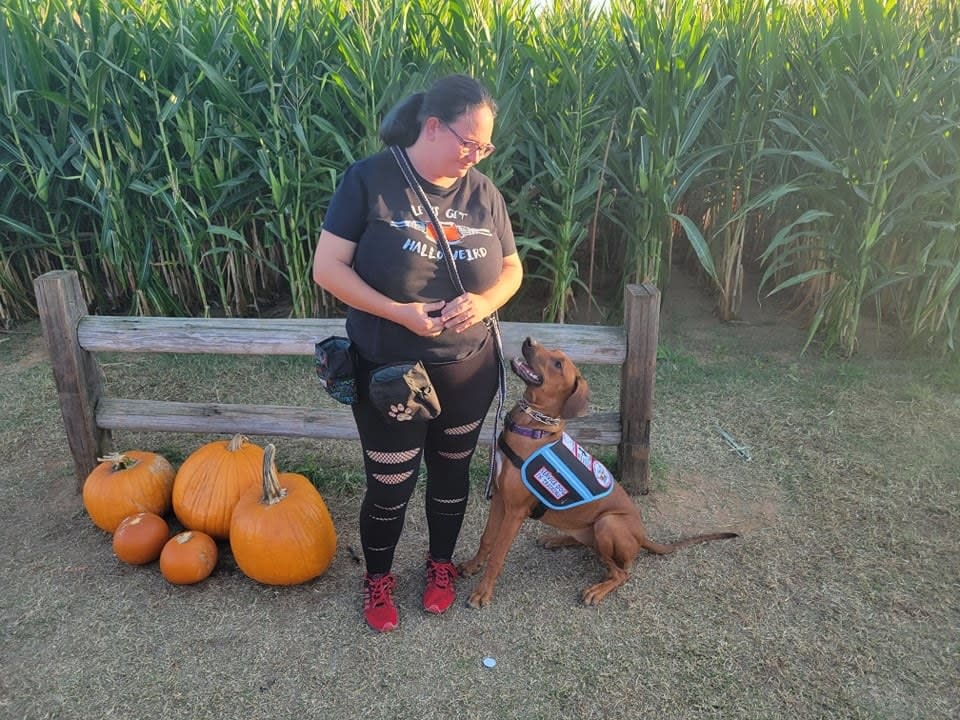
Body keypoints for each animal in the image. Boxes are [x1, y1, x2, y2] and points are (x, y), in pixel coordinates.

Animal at [462, 338, 740, 608]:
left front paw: (483, 593)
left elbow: (498, 554)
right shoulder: (499, 497)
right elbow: (487, 539)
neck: (533, 426)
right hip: (589, 526)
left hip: (608, 523)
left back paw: (597, 589)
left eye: (558, 364)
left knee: (621, 572)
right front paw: (472, 565)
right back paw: (556, 539)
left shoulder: (515, 511)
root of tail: (642, 536)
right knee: (591, 545)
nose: (529, 340)